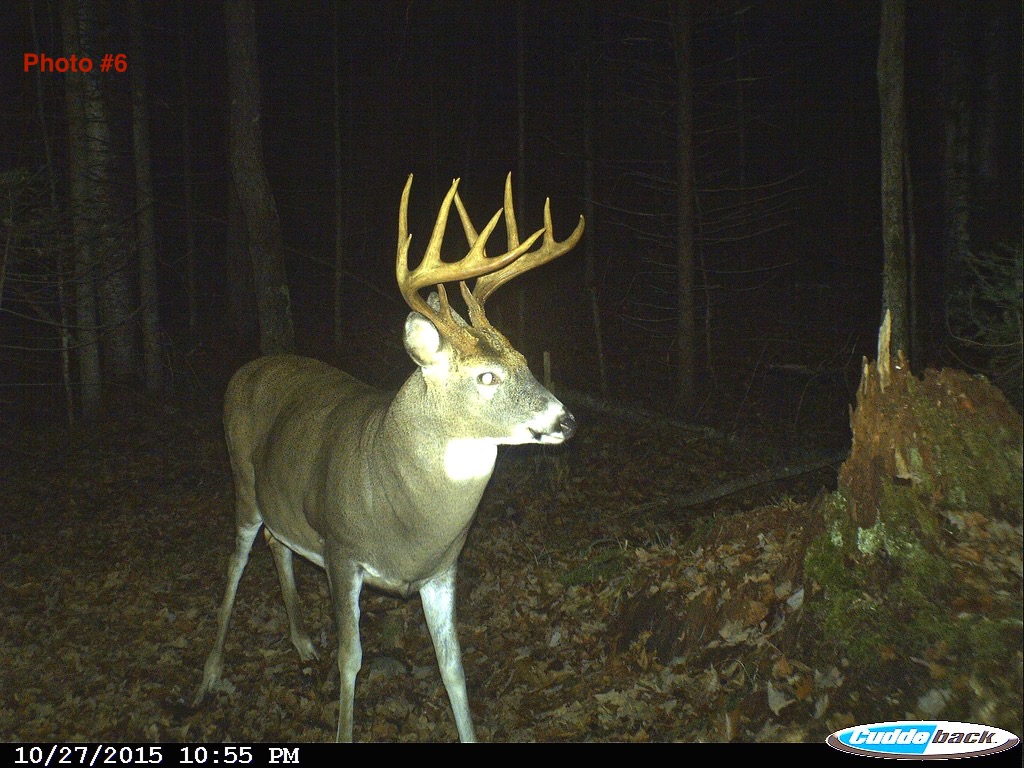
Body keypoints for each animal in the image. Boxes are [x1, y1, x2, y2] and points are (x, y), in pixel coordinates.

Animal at [193, 173, 584, 742]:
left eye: (525, 360)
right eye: (486, 376)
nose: (565, 420)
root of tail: (246, 369)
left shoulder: (443, 568)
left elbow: (453, 668)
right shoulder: (341, 549)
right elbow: (351, 659)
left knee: (276, 541)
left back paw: (301, 641)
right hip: (242, 480)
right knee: (235, 560)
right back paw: (208, 677)